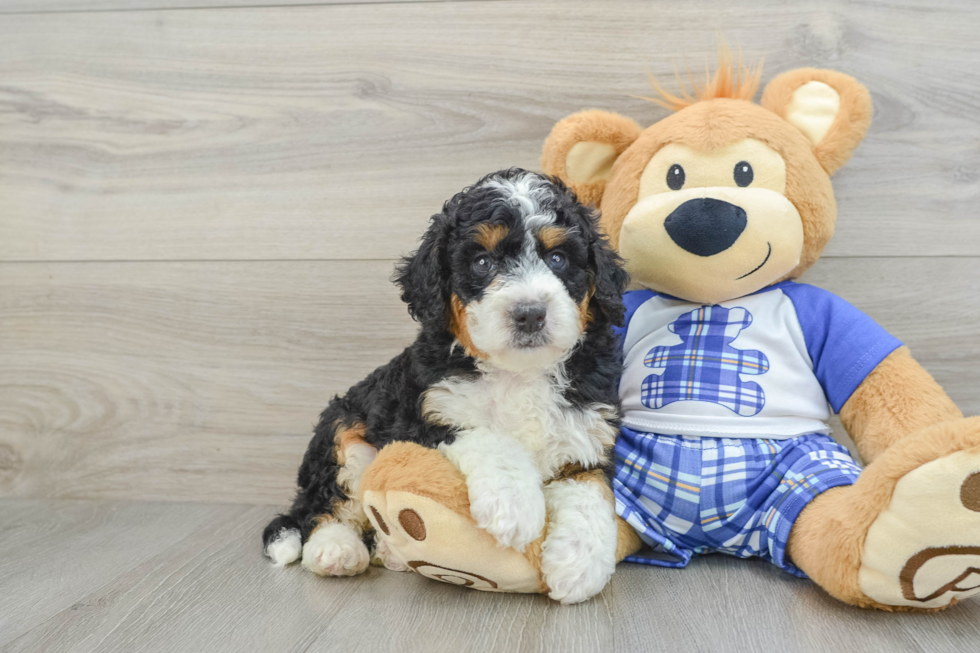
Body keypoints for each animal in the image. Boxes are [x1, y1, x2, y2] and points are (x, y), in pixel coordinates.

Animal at [260, 167, 628, 600]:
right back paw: (336, 549)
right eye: (482, 262)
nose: (530, 314)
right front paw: (515, 506)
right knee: (324, 505)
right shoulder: (427, 413)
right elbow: (489, 437)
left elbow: (591, 491)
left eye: (558, 258)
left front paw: (579, 565)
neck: (519, 373)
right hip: (343, 431)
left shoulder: (586, 433)